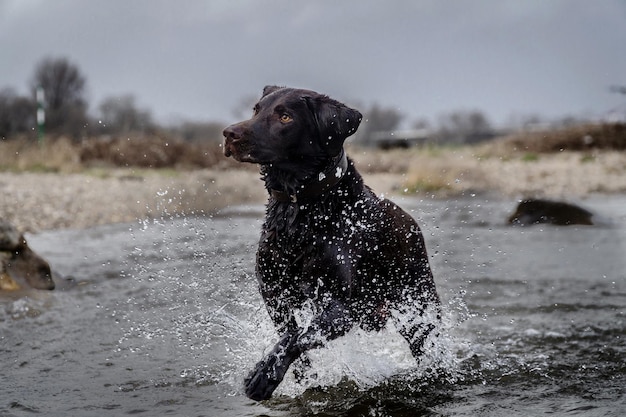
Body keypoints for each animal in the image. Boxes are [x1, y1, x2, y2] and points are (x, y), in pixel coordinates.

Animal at [222, 85, 436, 400]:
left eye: (285, 117)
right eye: (256, 110)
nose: (229, 134)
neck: (300, 209)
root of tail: (412, 222)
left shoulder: (342, 310)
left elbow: (297, 337)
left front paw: (263, 376)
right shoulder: (273, 292)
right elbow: (290, 333)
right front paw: (301, 375)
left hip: (418, 310)